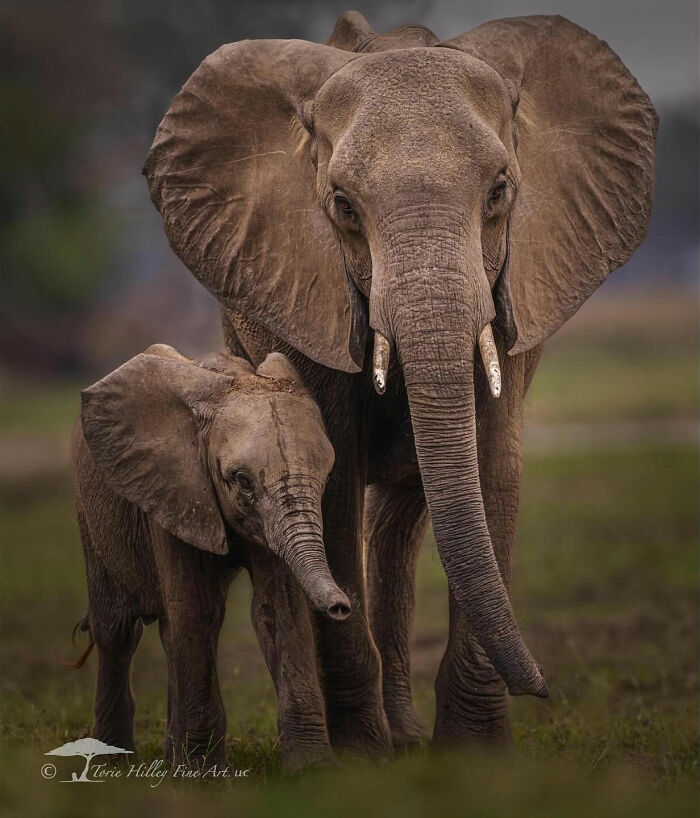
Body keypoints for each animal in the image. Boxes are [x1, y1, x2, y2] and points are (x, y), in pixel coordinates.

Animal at [72, 343, 349, 771]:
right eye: (241, 481)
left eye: (327, 474)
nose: (341, 607)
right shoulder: (174, 489)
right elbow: (199, 610)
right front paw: (202, 774)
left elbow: (279, 610)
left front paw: (311, 770)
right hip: (90, 511)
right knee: (116, 629)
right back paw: (111, 761)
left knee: (167, 633)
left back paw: (168, 759)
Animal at [143, 12, 657, 755]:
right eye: (342, 206)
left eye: (500, 191)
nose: (544, 686)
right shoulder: (304, 287)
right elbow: (330, 472)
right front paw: (362, 755)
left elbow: (494, 464)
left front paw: (475, 754)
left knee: (401, 513)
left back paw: (409, 736)